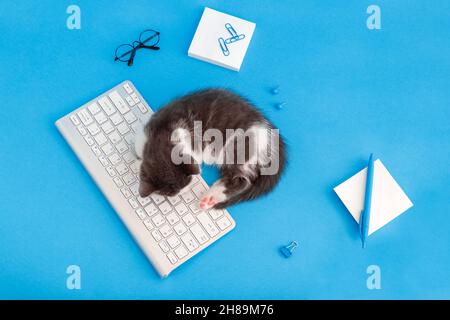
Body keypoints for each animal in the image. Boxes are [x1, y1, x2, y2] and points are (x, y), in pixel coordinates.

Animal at [135, 89, 286, 209]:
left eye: (188, 182)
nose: (186, 190)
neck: (161, 135)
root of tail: (269, 135)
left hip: (237, 148)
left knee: (243, 180)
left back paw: (210, 198)